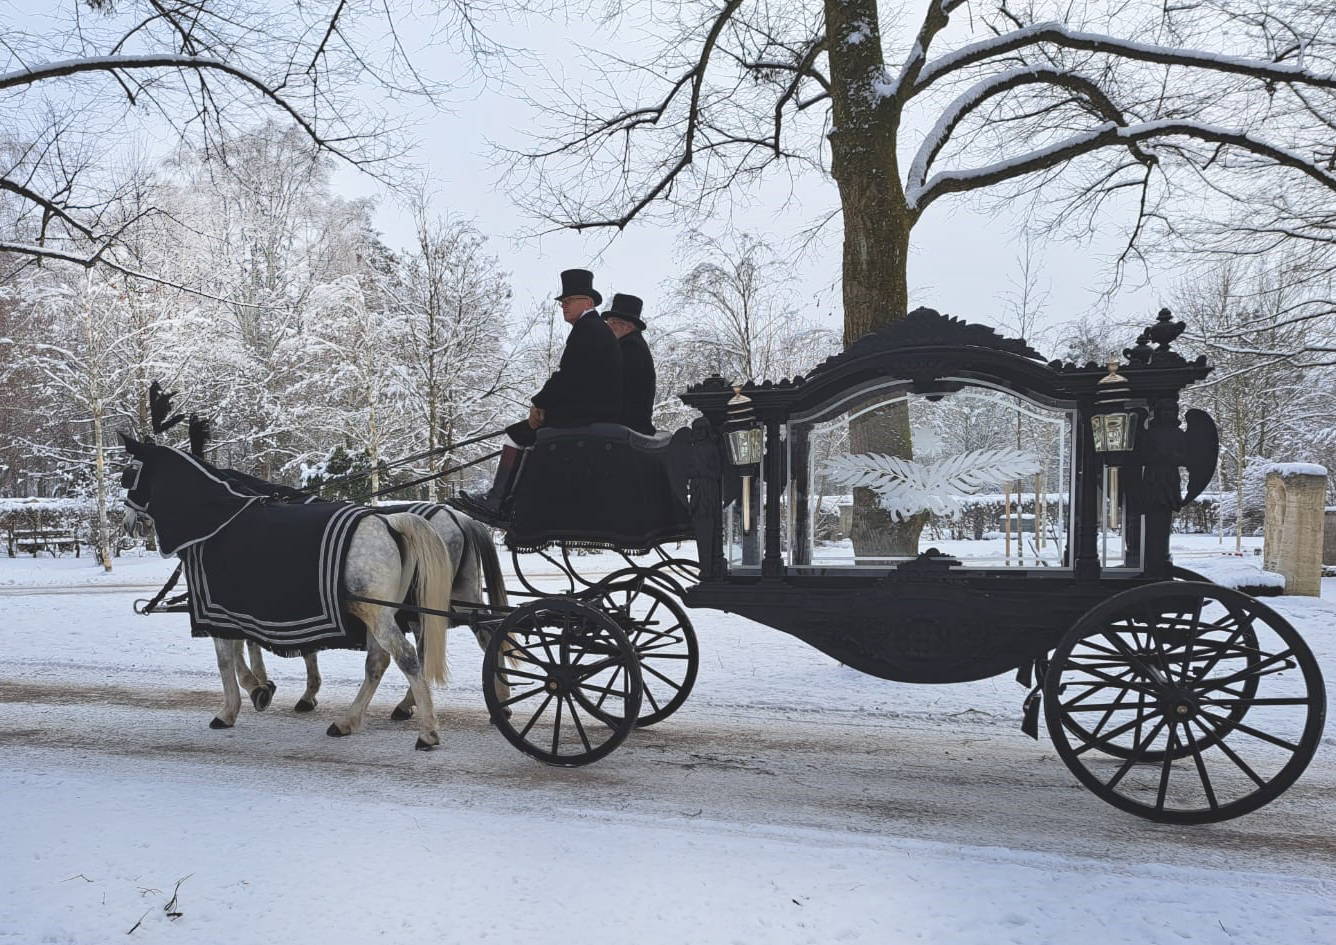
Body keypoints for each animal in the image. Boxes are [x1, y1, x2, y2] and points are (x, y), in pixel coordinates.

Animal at [120, 438, 462, 753]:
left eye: (130, 472)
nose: (127, 524)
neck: (217, 524)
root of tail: (388, 521)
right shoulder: (240, 611)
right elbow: (247, 650)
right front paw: (261, 688)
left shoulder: (217, 610)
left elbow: (226, 659)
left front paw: (233, 706)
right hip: (378, 614)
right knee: (378, 662)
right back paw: (348, 720)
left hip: (377, 614)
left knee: (407, 658)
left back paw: (427, 731)